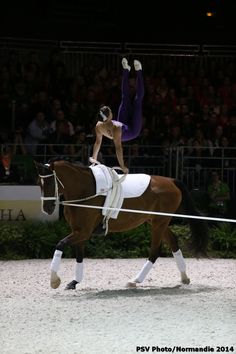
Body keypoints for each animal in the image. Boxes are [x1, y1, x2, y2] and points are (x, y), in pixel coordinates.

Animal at [35, 160, 208, 290]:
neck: (85, 191)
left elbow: (60, 244)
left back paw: (134, 281)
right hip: (157, 221)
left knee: (155, 250)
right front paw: (74, 282)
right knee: (173, 242)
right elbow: (79, 255)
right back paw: (184, 278)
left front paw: (54, 281)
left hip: (159, 222)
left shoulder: (83, 232)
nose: (47, 209)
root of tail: (171, 181)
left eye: (50, 183)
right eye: (39, 184)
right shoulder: (78, 231)